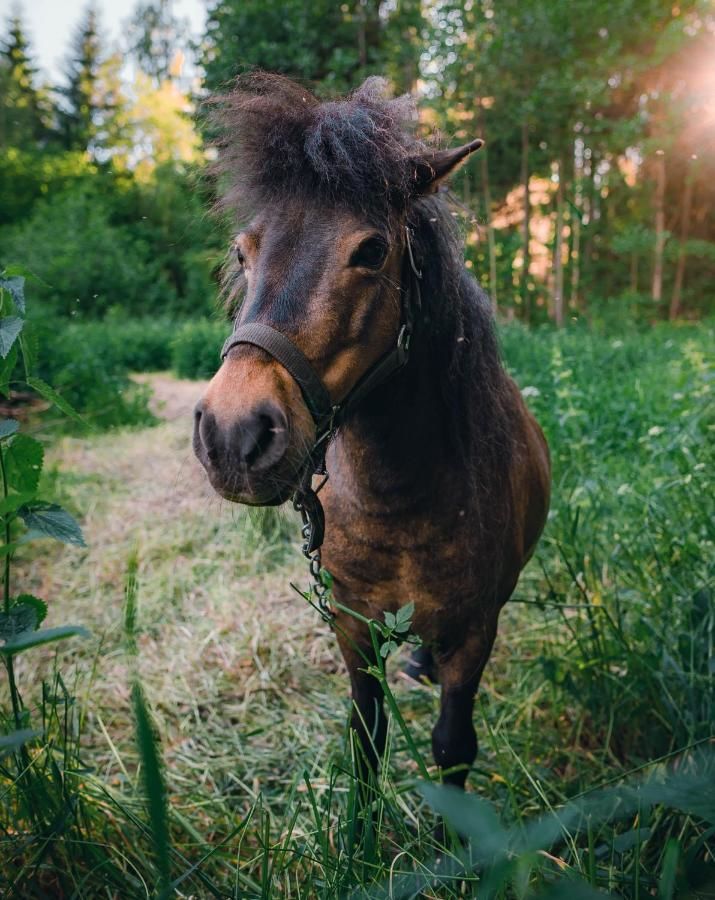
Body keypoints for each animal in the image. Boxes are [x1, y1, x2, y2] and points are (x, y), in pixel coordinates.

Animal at [193, 75, 552, 796]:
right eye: (243, 251)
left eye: (372, 251)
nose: (232, 434)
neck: (401, 502)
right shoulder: (354, 629)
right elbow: (365, 741)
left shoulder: (475, 632)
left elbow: (453, 746)